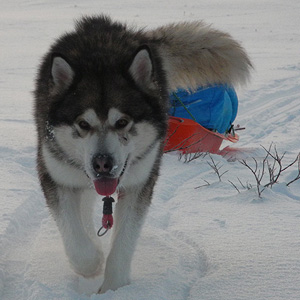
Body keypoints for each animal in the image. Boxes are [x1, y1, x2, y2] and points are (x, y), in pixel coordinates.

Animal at [34, 15, 252, 292]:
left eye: (122, 122)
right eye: (83, 124)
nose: (102, 164)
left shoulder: (140, 182)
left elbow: (124, 242)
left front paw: (114, 287)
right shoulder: (56, 176)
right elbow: (75, 239)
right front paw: (92, 262)